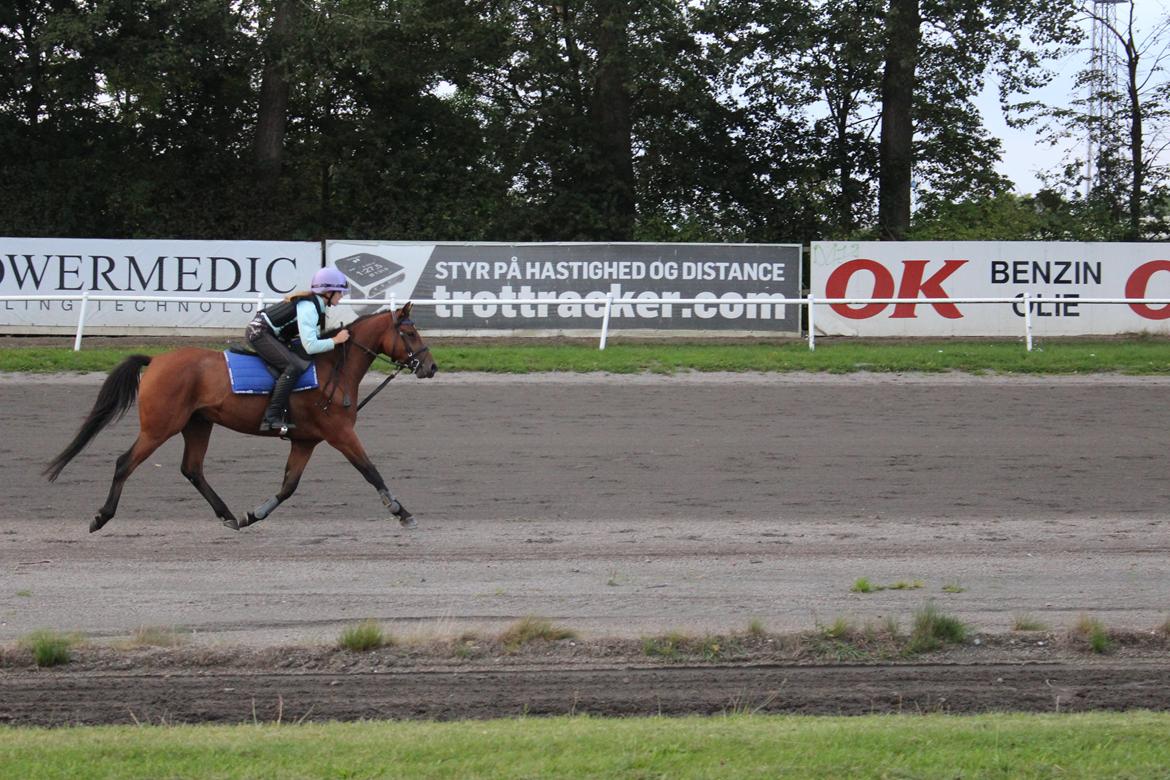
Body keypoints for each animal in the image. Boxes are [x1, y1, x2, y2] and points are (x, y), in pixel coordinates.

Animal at [43, 301, 439, 533]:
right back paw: (101, 516)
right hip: (159, 427)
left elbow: (288, 485)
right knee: (125, 463)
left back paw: (228, 515)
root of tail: (155, 360)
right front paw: (401, 511)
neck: (333, 367)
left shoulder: (305, 440)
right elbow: (370, 470)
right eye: (409, 331)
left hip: (198, 424)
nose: (431, 367)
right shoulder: (339, 433)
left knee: (192, 469)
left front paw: (254, 514)